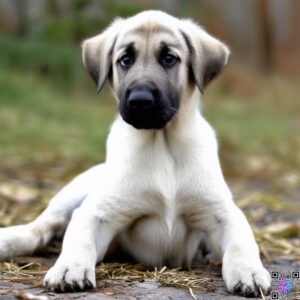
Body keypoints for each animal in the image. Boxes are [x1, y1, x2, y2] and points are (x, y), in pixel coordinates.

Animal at [0, 10, 272, 296]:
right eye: (125, 60)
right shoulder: (97, 212)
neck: (161, 144)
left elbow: (241, 242)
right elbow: (78, 240)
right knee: (41, 227)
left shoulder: (223, 213)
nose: (140, 101)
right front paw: (69, 268)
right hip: (73, 192)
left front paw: (249, 271)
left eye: (169, 58)